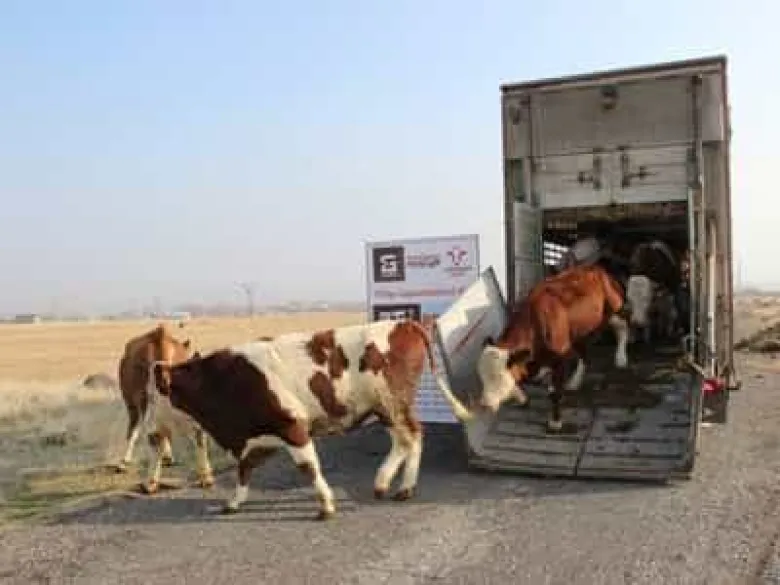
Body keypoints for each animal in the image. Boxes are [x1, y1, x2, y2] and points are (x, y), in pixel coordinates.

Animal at [151, 319, 472, 520]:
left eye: (158, 393)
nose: (154, 431)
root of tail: (403, 323)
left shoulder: (292, 426)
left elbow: (309, 468)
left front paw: (326, 505)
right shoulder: (257, 438)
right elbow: (244, 470)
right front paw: (233, 502)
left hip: (392, 403)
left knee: (412, 436)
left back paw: (399, 485)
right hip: (385, 409)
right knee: (405, 440)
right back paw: (389, 484)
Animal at [474, 264, 629, 433]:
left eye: (500, 377)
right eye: (481, 376)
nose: (484, 405)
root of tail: (595, 267)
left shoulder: (559, 359)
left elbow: (556, 393)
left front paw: (555, 422)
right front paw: (523, 398)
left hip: (616, 306)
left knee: (623, 328)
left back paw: (621, 358)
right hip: (578, 331)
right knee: (583, 352)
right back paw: (575, 382)